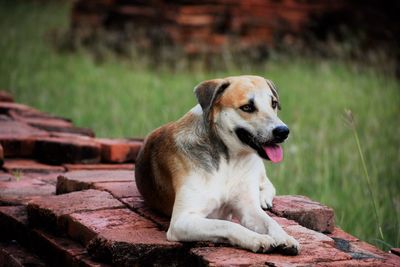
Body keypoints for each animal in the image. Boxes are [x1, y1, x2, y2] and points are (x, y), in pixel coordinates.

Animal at [136, 75, 298, 255]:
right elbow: (227, 224)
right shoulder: (182, 221)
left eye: (273, 103)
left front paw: (285, 237)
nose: (283, 131)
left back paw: (263, 199)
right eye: (247, 107)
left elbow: (271, 222)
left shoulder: (249, 209)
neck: (229, 161)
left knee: (267, 184)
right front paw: (257, 238)